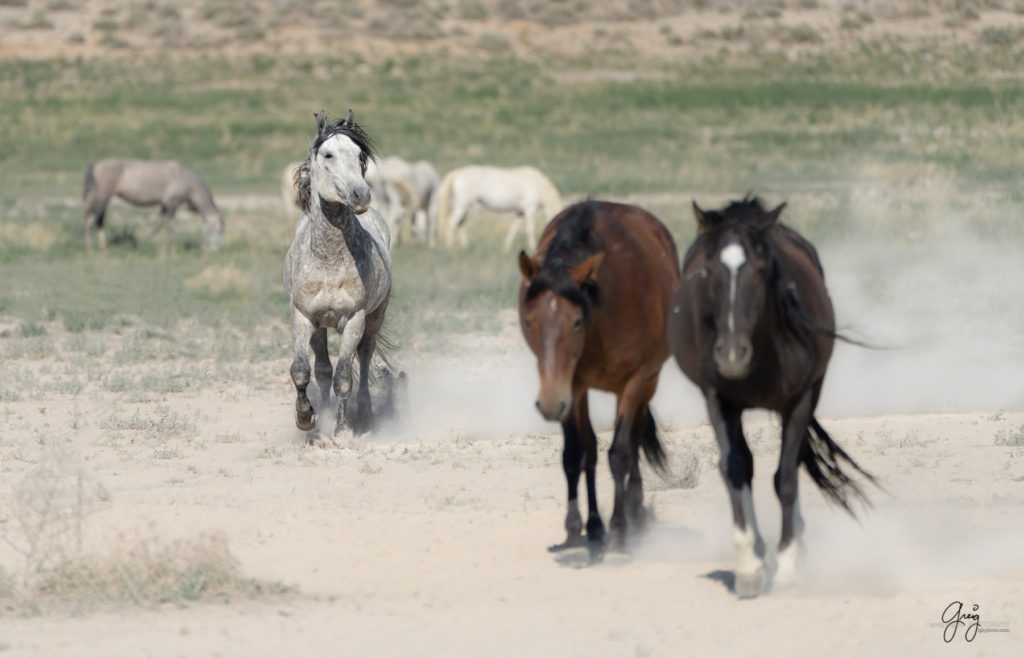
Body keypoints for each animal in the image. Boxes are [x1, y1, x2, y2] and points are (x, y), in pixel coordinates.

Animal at [82, 158, 224, 252]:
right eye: (218, 229)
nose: (216, 248)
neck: (184, 178)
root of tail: (95, 166)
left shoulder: (164, 206)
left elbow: (158, 225)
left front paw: (149, 242)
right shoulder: (172, 205)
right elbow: (170, 226)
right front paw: (172, 248)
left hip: (104, 200)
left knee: (99, 220)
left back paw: (103, 247)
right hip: (100, 199)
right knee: (91, 219)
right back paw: (89, 247)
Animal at [282, 110, 393, 440]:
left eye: (360, 155)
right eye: (328, 154)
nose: (362, 194)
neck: (329, 259)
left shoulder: (355, 319)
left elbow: (344, 376)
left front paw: (342, 430)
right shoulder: (303, 316)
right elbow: (302, 370)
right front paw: (306, 418)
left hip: (374, 319)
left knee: (365, 360)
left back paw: (364, 414)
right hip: (320, 328)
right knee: (322, 369)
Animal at [430, 164, 565, 252]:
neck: (539, 185)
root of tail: (457, 173)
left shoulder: (519, 213)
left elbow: (513, 229)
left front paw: (506, 248)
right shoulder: (529, 210)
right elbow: (530, 229)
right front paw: (532, 247)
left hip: (465, 207)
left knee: (460, 224)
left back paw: (465, 247)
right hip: (462, 206)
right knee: (451, 223)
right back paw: (450, 246)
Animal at [520, 201, 679, 556]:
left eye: (576, 322)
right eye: (529, 321)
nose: (548, 403)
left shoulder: (635, 382)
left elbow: (619, 454)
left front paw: (619, 528)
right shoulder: (570, 388)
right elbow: (577, 454)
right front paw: (582, 527)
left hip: (645, 383)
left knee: (632, 441)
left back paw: (633, 513)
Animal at [667, 195, 876, 597]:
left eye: (762, 269)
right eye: (708, 270)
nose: (732, 356)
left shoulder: (798, 400)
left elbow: (786, 478)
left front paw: (789, 564)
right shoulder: (719, 401)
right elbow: (734, 469)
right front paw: (748, 566)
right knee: (745, 465)